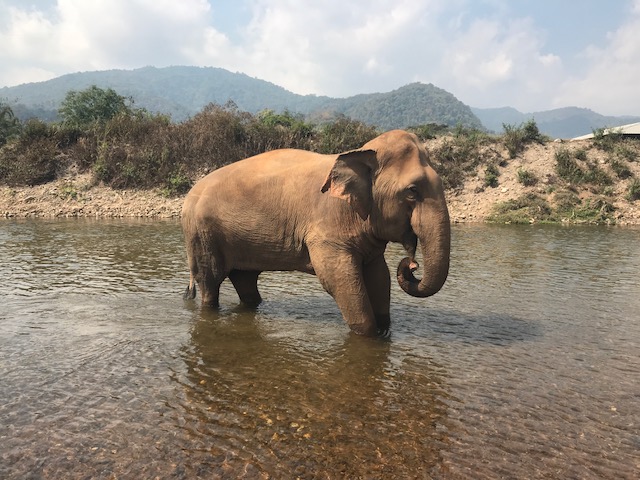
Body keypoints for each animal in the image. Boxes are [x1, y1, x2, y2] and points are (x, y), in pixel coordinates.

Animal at [181, 130, 450, 336]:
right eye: (412, 191)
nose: (412, 264)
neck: (360, 152)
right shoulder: (326, 229)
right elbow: (338, 279)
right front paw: (369, 335)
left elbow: (379, 276)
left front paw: (384, 330)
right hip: (201, 233)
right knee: (210, 281)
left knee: (245, 280)